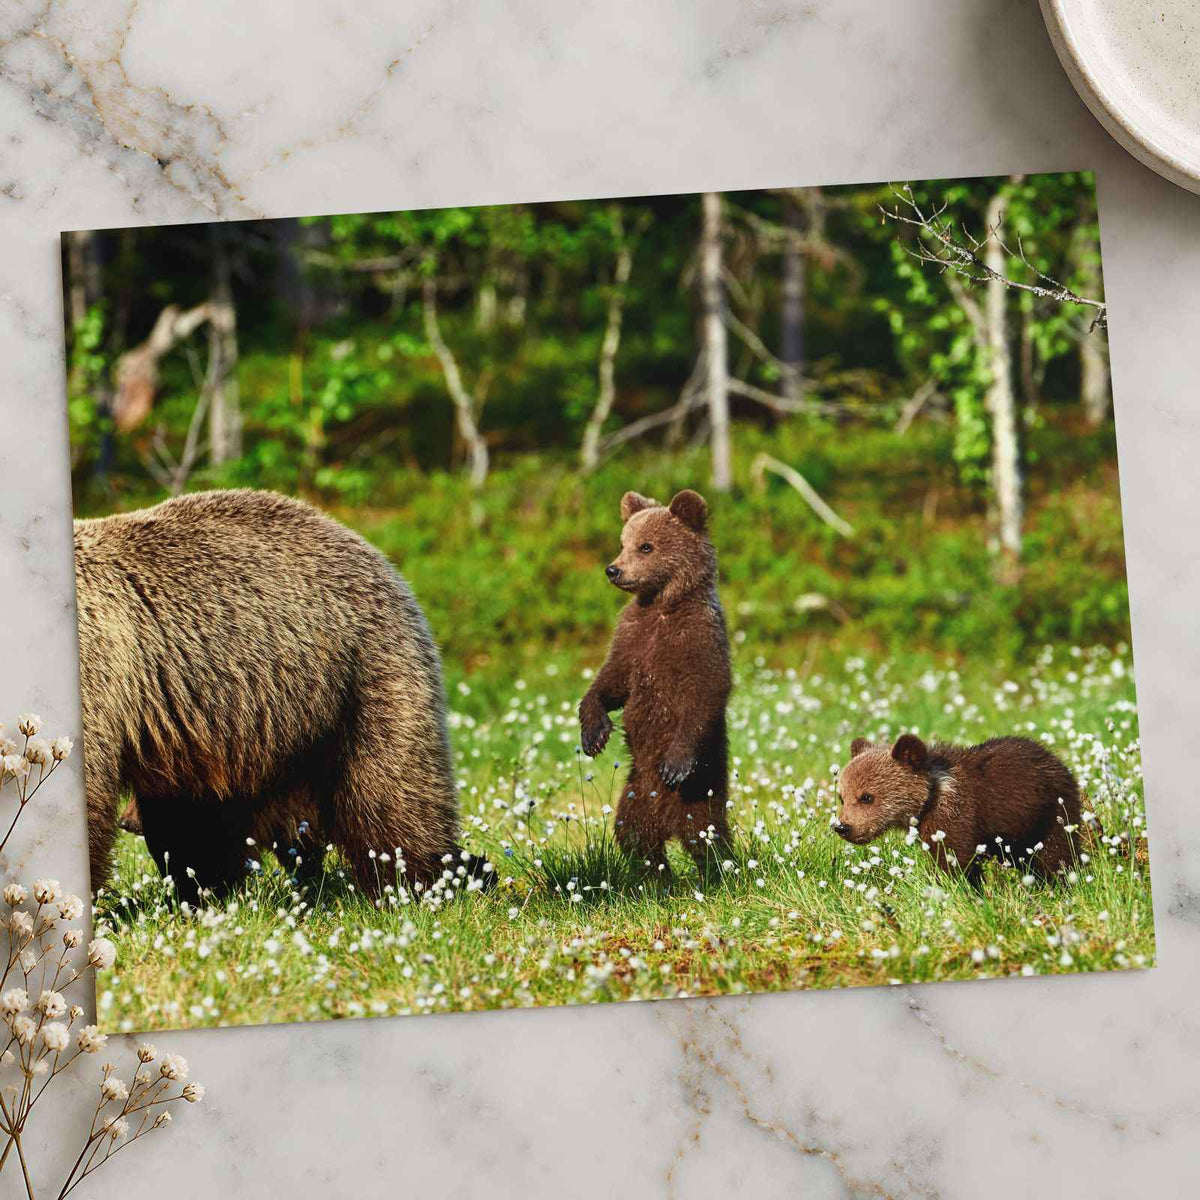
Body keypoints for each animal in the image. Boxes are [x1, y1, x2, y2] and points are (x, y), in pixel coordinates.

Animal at [74, 488, 479, 905]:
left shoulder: (95, 671)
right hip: (231, 729)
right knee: (197, 823)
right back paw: (208, 893)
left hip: (363, 676)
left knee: (390, 800)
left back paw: (427, 881)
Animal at [579, 489, 732, 879]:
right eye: (623, 542)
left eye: (646, 546)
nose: (613, 569)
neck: (663, 605)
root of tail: (667, 821)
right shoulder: (633, 638)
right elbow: (611, 682)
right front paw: (594, 734)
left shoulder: (698, 639)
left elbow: (706, 692)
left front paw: (675, 763)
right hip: (634, 795)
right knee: (634, 837)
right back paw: (657, 879)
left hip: (700, 793)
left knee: (707, 838)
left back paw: (720, 874)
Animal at [834, 733, 1083, 882]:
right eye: (842, 797)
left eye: (866, 797)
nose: (843, 827)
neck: (931, 797)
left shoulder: (955, 818)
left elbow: (953, 859)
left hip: (1051, 813)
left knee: (1057, 852)